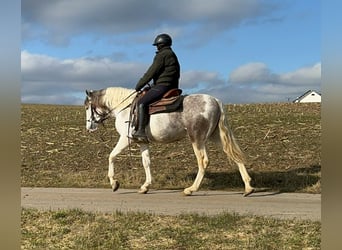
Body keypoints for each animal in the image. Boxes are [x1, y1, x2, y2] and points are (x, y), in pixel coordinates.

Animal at [83, 87, 254, 196]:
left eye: (87, 107)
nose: (89, 127)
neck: (123, 108)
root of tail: (215, 101)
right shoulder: (142, 142)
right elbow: (146, 162)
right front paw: (145, 186)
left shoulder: (125, 139)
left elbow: (111, 156)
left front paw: (114, 183)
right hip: (216, 137)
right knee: (234, 155)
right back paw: (248, 188)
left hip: (197, 139)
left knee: (203, 161)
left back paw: (191, 189)